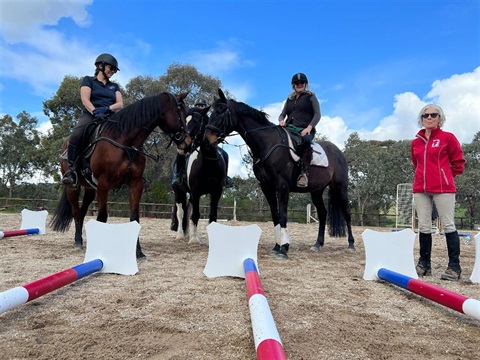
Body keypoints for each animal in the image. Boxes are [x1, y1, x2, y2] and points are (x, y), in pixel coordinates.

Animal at [49, 91, 191, 258]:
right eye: (180, 113)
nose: (188, 142)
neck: (126, 142)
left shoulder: (136, 184)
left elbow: (134, 217)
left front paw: (138, 252)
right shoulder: (104, 184)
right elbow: (102, 216)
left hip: (90, 189)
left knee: (82, 212)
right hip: (73, 187)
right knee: (76, 212)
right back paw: (78, 241)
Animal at [171, 105, 227, 243]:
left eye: (197, 122)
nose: (182, 145)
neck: (208, 163)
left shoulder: (216, 192)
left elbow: (212, 215)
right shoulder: (195, 191)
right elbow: (195, 215)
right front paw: (194, 240)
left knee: (188, 211)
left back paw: (188, 234)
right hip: (179, 191)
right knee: (181, 213)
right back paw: (180, 235)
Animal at [204, 89, 354, 258]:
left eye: (222, 111)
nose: (207, 139)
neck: (268, 143)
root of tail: (338, 152)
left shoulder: (282, 186)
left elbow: (283, 215)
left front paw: (284, 248)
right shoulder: (266, 186)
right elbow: (275, 215)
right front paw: (277, 246)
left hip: (341, 187)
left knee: (347, 213)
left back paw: (351, 244)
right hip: (317, 191)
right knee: (322, 213)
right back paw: (317, 244)